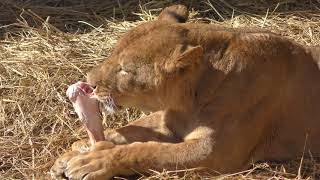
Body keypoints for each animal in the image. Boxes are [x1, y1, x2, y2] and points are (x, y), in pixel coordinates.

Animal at [50, 4, 320, 180]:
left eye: (125, 70)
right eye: (113, 52)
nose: (89, 82)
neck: (189, 99)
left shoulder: (214, 154)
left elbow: (148, 150)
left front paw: (95, 161)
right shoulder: (168, 121)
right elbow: (133, 129)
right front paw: (79, 149)